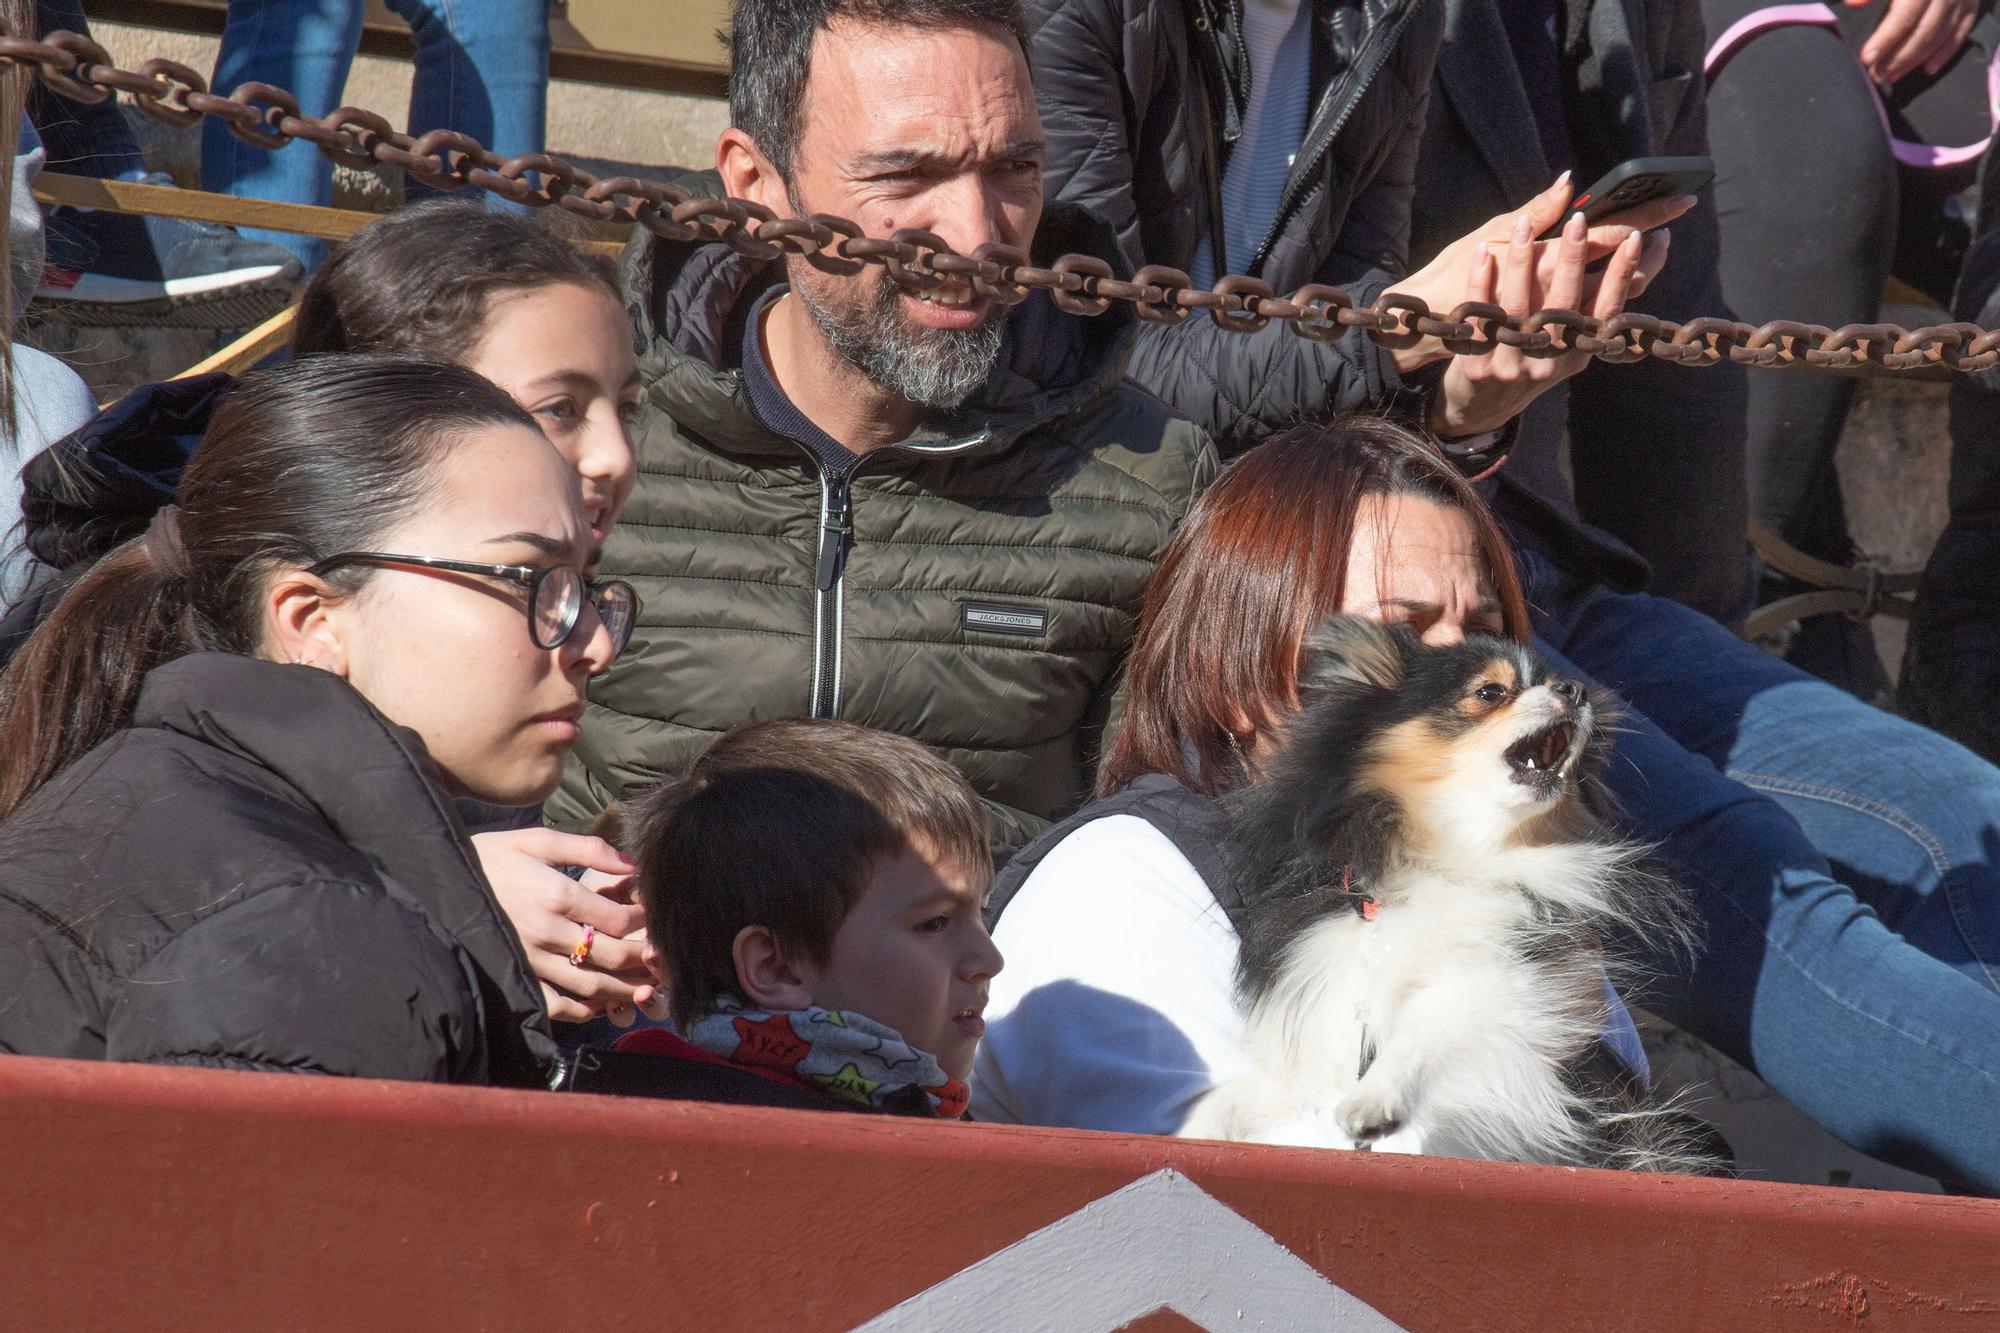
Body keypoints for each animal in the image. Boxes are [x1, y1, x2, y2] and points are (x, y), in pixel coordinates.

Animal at [1184, 608, 1720, 1160]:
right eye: (1489, 692)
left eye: (1558, 684)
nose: (1576, 689)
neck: (1452, 859)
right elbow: (1231, 1098)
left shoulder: (1508, 984)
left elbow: (1422, 1030)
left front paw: (1374, 1099)